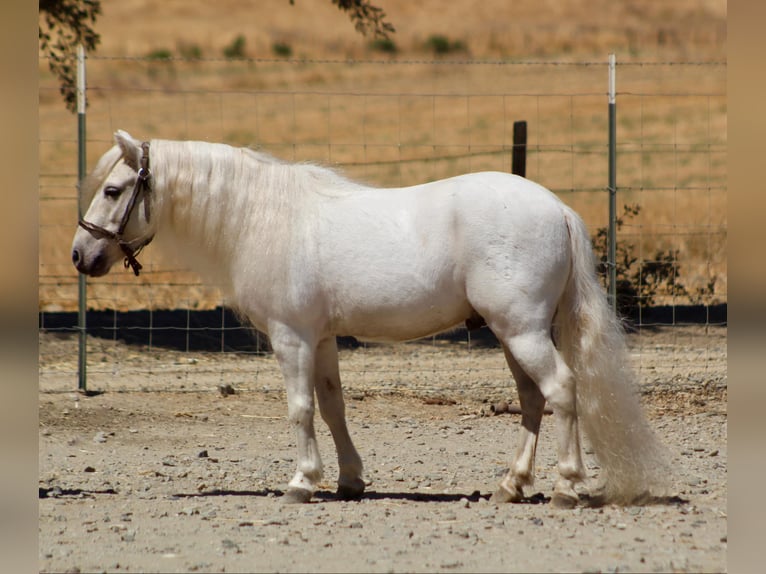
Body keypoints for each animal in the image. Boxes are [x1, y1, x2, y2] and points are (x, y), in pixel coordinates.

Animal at [73, 132, 672, 508]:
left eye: (112, 190)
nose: (81, 256)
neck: (265, 219)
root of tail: (557, 208)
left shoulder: (291, 338)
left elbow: (300, 409)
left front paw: (301, 482)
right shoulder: (322, 339)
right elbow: (334, 407)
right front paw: (349, 481)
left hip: (521, 332)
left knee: (562, 391)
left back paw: (567, 487)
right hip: (514, 334)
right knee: (531, 400)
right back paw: (510, 485)